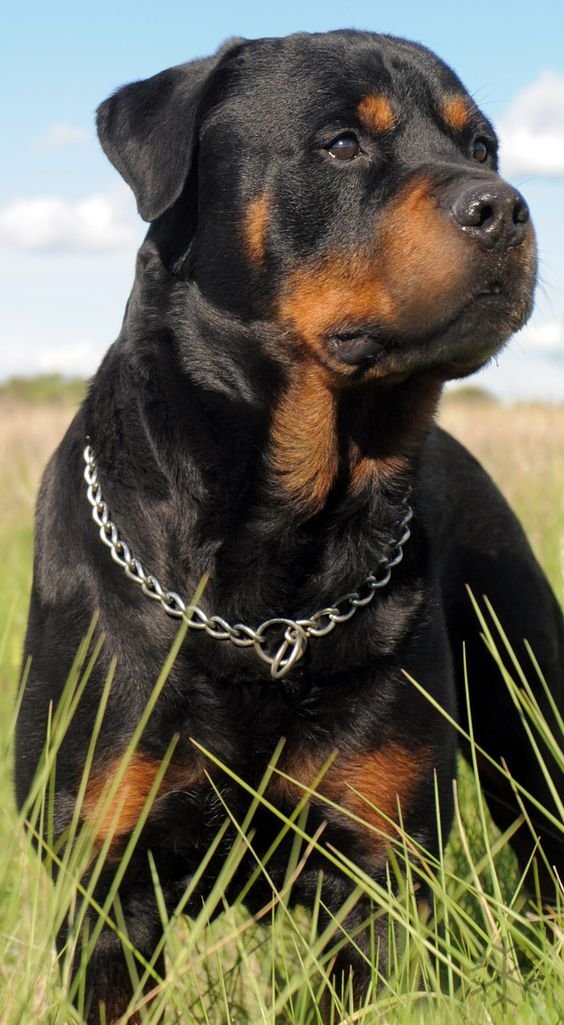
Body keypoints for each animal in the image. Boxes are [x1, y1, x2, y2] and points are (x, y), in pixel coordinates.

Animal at [14, 28, 564, 1020]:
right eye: (342, 144)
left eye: (483, 147)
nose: (504, 205)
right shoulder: (108, 883)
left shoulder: (374, 866)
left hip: (532, 717)